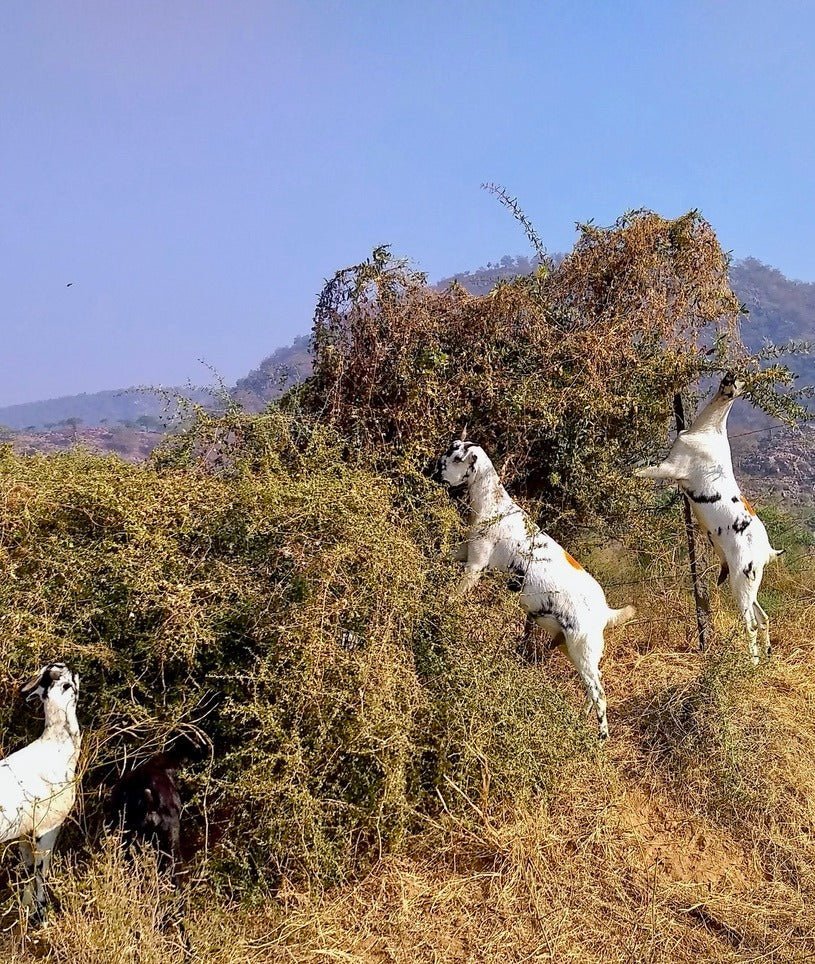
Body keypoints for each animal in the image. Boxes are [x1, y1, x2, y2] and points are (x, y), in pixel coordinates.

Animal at [0, 663, 81, 922]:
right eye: (68, 681)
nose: (76, 670)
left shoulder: (24, 834)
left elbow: (27, 872)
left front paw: (27, 909)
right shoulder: (47, 828)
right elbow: (40, 874)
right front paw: (42, 914)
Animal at [435, 439, 636, 739]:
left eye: (458, 458)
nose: (434, 471)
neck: (496, 506)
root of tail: (605, 612)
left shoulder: (476, 564)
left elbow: (453, 595)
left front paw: (440, 610)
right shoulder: (464, 551)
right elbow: (439, 556)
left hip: (583, 651)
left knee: (600, 694)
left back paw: (600, 738)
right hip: (572, 650)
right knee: (593, 689)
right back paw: (581, 720)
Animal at [635, 373, 784, 662]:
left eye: (739, 384)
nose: (729, 378)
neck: (708, 430)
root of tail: (767, 551)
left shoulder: (671, 467)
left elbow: (639, 472)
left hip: (741, 581)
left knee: (750, 624)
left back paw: (752, 662)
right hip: (750, 584)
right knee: (763, 618)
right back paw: (767, 655)